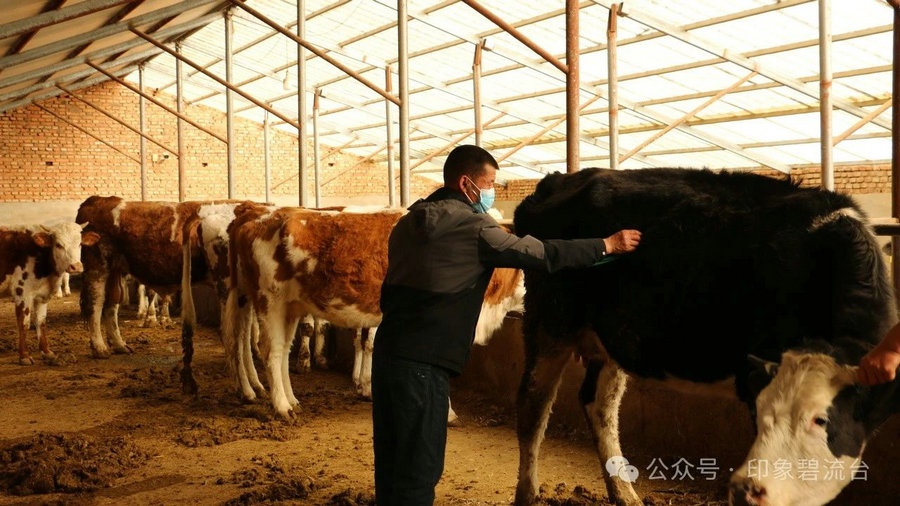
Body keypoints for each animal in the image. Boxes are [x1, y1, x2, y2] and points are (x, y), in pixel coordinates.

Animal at [0, 222, 99, 365]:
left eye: (80, 243)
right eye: (58, 245)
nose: (76, 266)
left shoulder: (42, 297)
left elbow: (41, 322)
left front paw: (47, 352)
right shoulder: (22, 293)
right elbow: (24, 324)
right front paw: (24, 356)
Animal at [223, 202, 526, 419]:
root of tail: (258, 215)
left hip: (287, 306)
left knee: (280, 350)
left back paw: (290, 400)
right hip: (269, 301)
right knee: (269, 351)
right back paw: (281, 407)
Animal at [510, 167, 897, 506]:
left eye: (822, 420)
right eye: (766, 413)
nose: (752, 489)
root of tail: (558, 179)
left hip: (612, 338)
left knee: (599, 404)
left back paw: (624, 494)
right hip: (550, 320)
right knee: (534, 403)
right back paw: (527, 493)